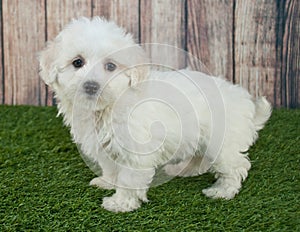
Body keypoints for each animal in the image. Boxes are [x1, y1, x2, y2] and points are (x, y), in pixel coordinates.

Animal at [39, 16, 272, 212]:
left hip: (223, 142)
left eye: (111, 66)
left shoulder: (135, 150)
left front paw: (120, 203)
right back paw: (184, 170)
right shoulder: (106, 146)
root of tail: (244, 101)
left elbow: (129, 179)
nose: (91, 85)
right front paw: (107, 181)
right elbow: (111, 168)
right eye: (77, 62)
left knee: (236, 166)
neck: (109, 106)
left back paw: (222, 191)